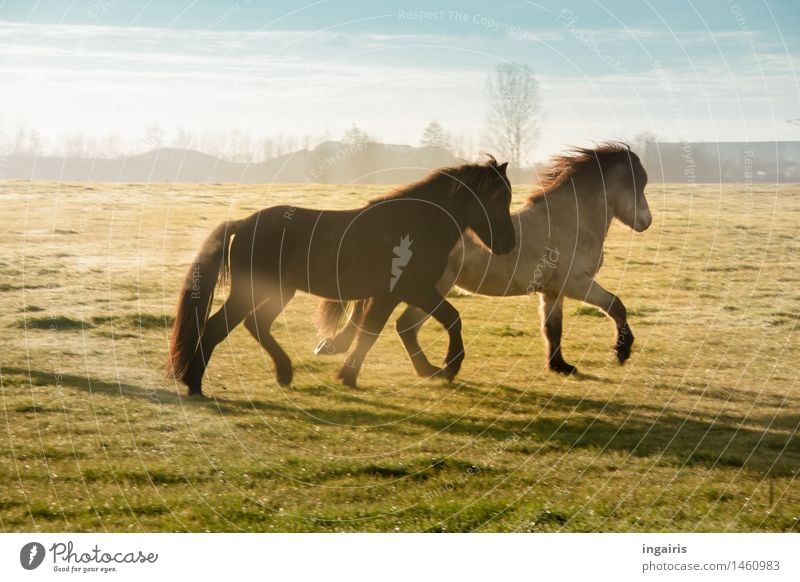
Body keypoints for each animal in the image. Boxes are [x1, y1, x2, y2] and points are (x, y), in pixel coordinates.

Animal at [170, 159, 520, 396]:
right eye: (494, 199)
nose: (508, 244)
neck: (413, 227)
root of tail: (243, 224)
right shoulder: (409, 290)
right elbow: (448, 319)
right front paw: (449, 367)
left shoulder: (390, 295)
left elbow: (370, 331)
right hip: (252, 291)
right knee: (218, 327)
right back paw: (196, 384)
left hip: (282, 291)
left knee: (255, 324)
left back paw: (282, 373)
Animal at [316, 144, 652, 376]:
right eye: (639, 184)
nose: (646, 222)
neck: (569, 221)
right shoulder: (577, 284)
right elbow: (616, 306)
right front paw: (622, 351)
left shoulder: (552, 291)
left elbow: (552, 329)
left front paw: (560, 366)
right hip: (430, 289)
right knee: (405, 327)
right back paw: (437, 370)